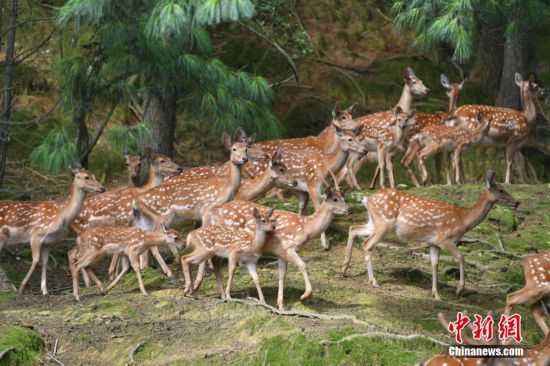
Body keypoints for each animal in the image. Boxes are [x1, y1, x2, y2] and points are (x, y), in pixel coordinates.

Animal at [0, 167, 105, 296]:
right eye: (86, 177)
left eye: (95, 176)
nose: (102, 188)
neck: (62, 216)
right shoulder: (36, 234)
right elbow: (35, 260)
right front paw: (21, 289)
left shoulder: (48, 241)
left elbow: (44, 262)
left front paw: (45, 290)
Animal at [344, 171, 520, 300]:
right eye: (501, 190)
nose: (517, 202)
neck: (463, 219)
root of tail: (366, 199)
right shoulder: (445, 238)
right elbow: (461, 257)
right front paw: (459, 290)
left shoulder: (433, 243)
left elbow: (434, 264)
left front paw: (436, 294)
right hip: (383, 224)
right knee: (367, 244)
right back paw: (373, 281)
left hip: (375, 223)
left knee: (353, 228)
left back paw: (344, 269)